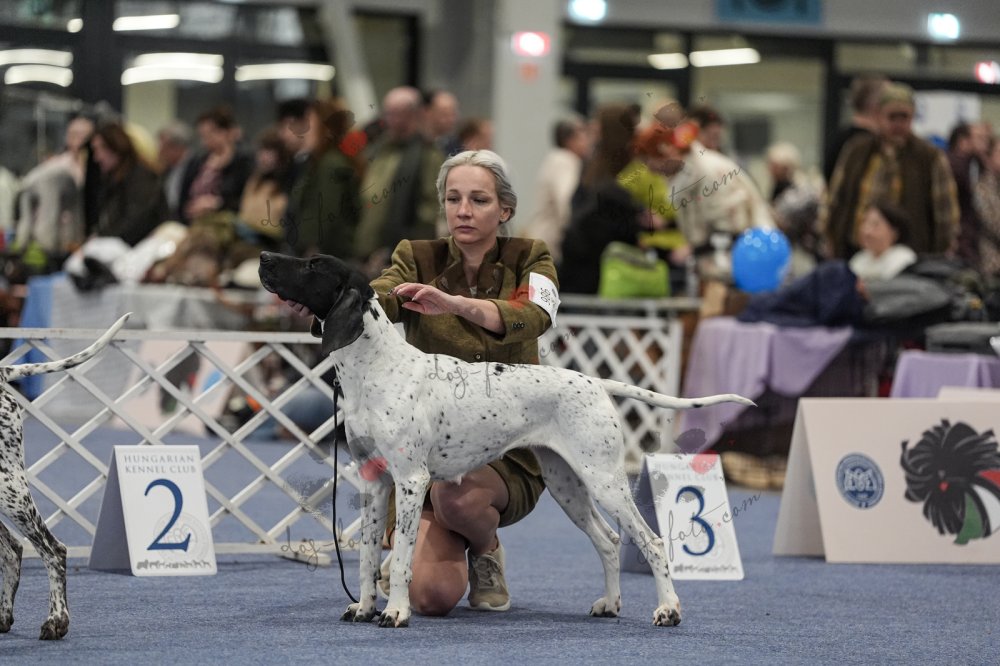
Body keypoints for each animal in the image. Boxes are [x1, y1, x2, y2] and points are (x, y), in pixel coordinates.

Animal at [258, 251, 752, 628]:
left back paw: (668, 610)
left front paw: (395, 612)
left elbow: (398, 559)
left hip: (604, 480)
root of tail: (593, 381)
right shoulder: (374, 483)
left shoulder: (411, 482)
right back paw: (610, 604)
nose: (264, 256)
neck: (375, 368)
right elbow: (364, 559)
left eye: (312, 265)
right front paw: (363, 607)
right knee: (609, 541)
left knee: (650, 542)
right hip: (568, 485)